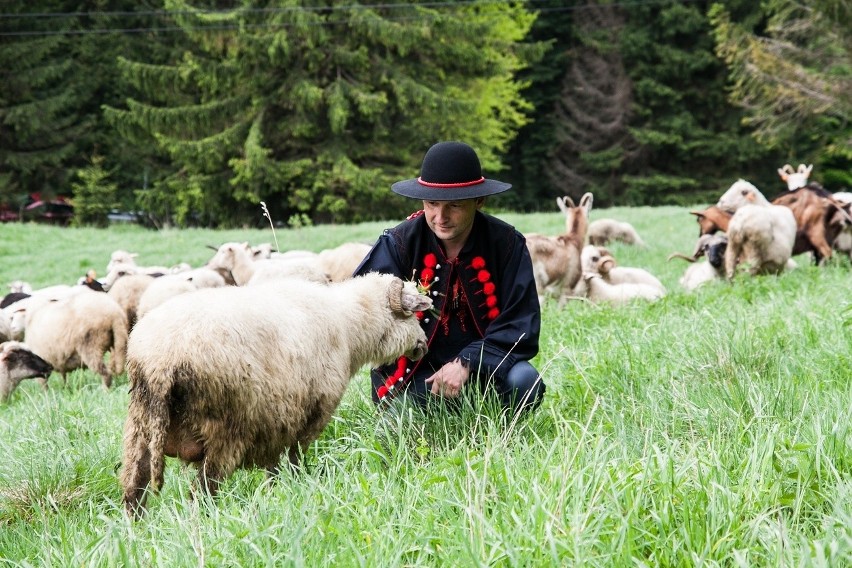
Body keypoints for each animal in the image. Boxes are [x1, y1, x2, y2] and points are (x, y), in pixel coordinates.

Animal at [120, 272, 432, 516]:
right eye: (412, 314)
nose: (423, 344)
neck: (349, 326)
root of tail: (159, 359)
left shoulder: (277, 420)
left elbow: (274, 467)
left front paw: (276, 493)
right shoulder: (311, 414)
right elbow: (295, 459)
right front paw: (297, 487)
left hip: (139, 427)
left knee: (134, 490)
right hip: (224, 430)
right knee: (203, 493)